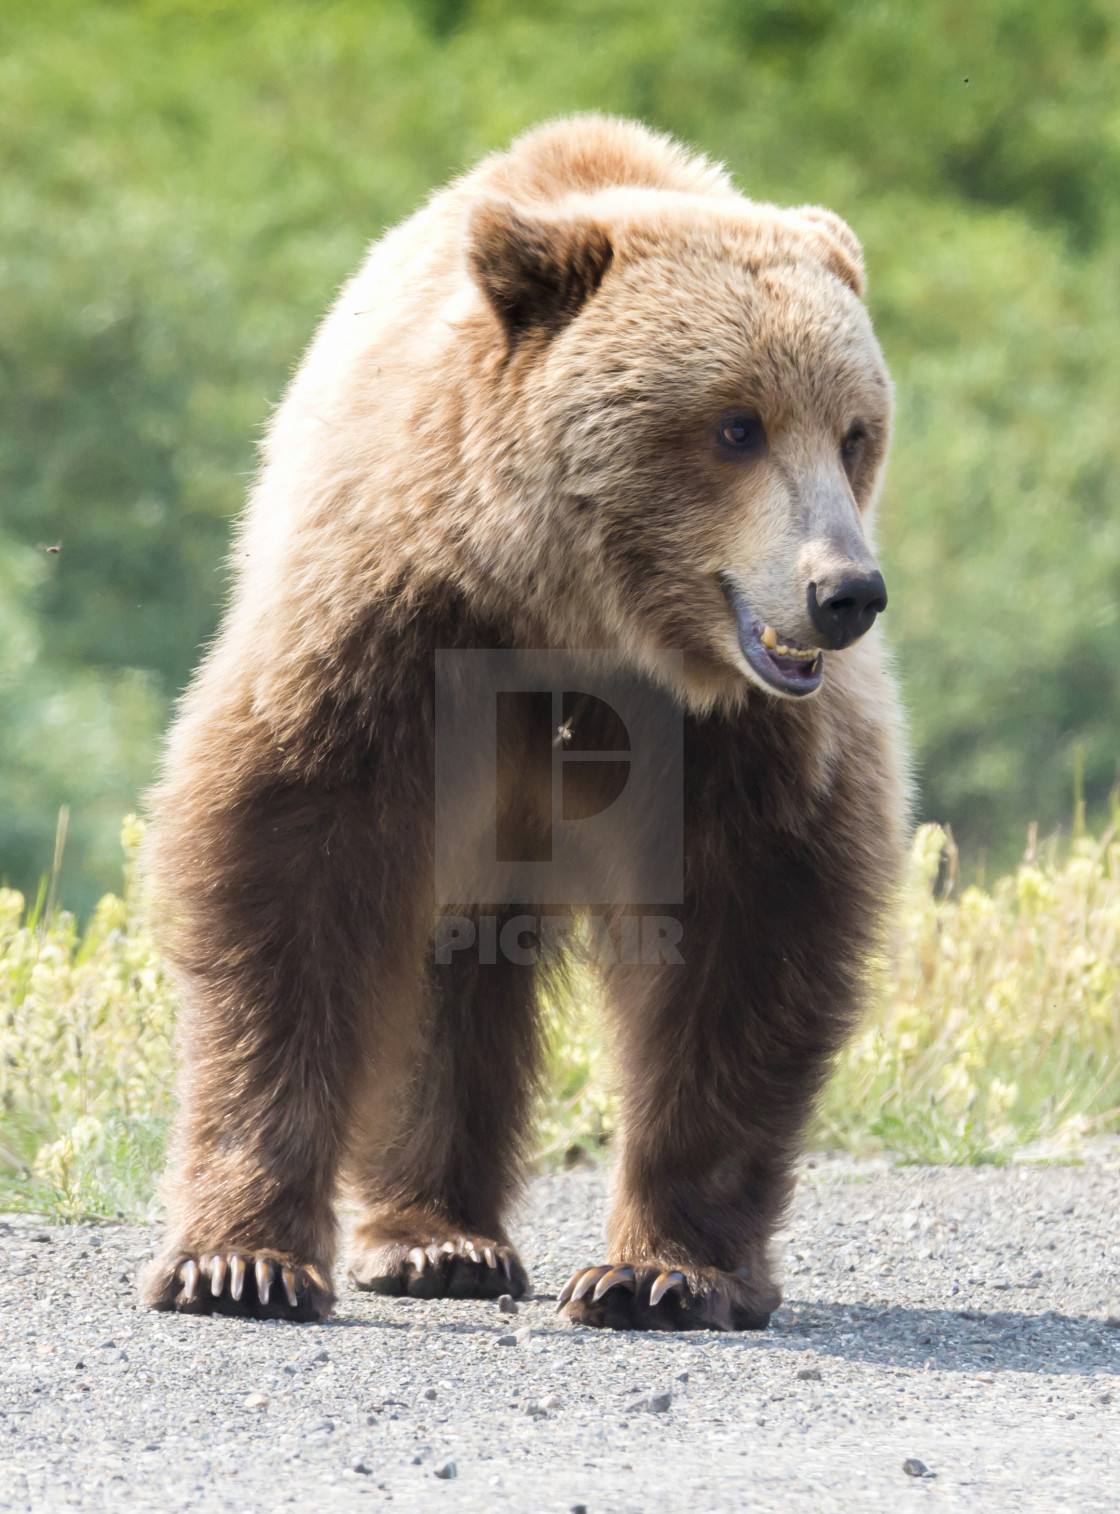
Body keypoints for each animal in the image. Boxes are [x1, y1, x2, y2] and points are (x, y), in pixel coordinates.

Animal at [142, 115, 908, 1326]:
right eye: (735, 424)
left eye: (853, 432)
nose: (844, 593)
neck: (576, 617)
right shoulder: (388, 631)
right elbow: (288, 872)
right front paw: (238, 1260)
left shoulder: (741, 736)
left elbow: (752, 928)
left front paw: (661, 1270)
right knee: (438, 966)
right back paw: (434, 1239)